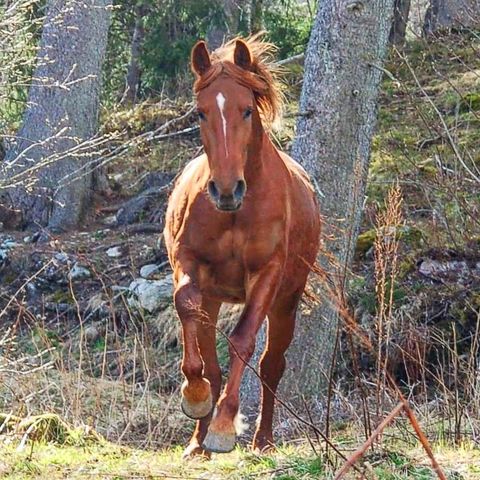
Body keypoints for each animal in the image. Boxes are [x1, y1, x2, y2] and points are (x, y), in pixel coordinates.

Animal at [163, 34, 320, 458]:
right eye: (200, 113)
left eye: (247, 110)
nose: (226, 189)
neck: (238, 212)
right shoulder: (189, 263)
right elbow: (187, 310)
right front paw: (197, 398)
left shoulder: (266, 275)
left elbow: (243, 341)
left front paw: (223, 426)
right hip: (215, 295)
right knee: (210, 353)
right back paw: (196, 442)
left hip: (286, 301)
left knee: (271, 365)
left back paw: (262, 440)